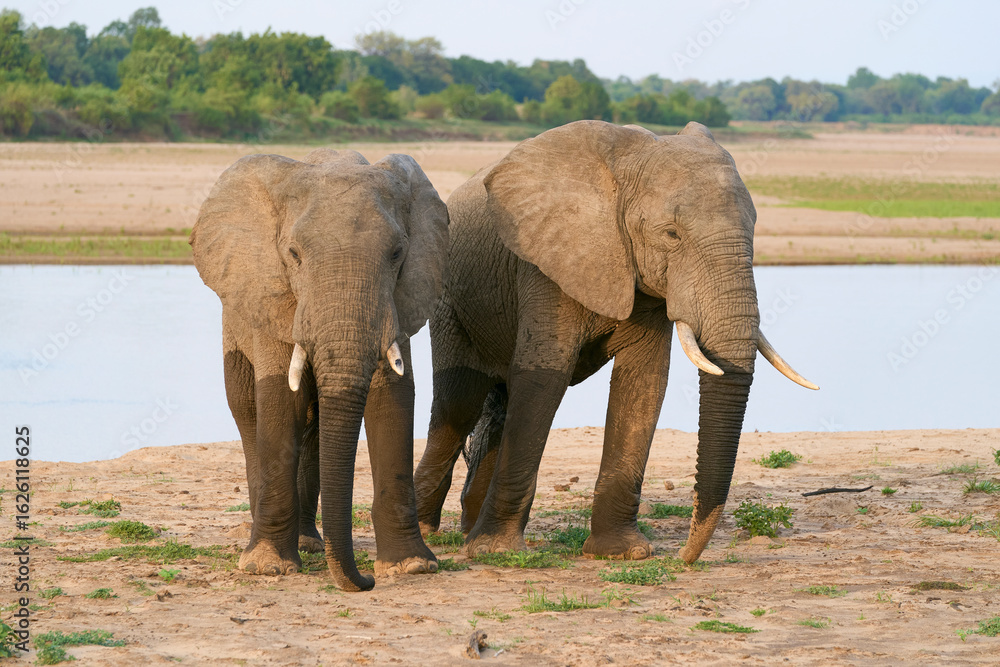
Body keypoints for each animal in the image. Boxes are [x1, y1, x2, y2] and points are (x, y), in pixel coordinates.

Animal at [191, 148, 448, 591]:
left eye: (397, 254)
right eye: (293, 254)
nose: (366, 581)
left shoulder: (400, 297)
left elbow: (391, 397)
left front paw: (411, 566)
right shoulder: (274, 296)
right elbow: (281, 398)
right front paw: (267, 567)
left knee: (312, 425)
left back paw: (310, 543)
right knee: (247, 412)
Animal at [413, 120, 816, 564]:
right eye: (671, 234)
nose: (685, 557)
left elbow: (643, 383)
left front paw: (622, 552)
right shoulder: (545, 263)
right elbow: (544, 379)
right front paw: (497, 552)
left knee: (494, 406)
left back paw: (467, 531)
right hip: (448, 299)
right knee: (459, 401)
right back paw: (429, 532)